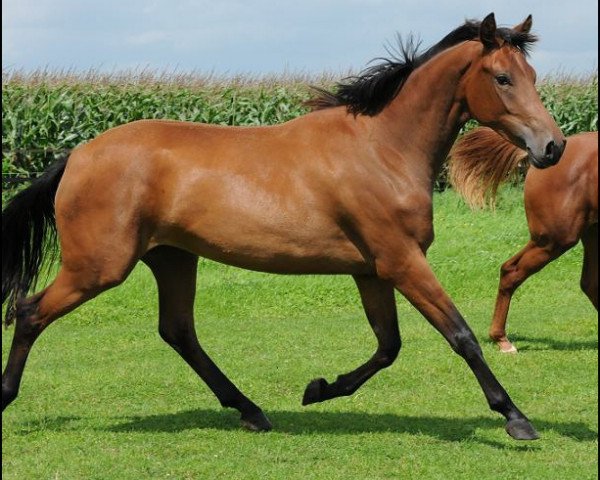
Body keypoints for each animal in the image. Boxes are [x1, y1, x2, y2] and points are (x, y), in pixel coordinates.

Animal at [2, 13, 564, 440]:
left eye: (533, 76)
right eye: (502, 78)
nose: (552, 147)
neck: (382, 149)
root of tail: (76, 156)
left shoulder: (372, 271)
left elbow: (388, 347)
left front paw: (318, 389)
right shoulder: (402, 260)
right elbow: (460, 334)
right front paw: (516, 418)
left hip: (172, 257)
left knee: (178, 331)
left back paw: (251, 411)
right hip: (99, 267)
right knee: (29, 314)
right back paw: (6, 396)